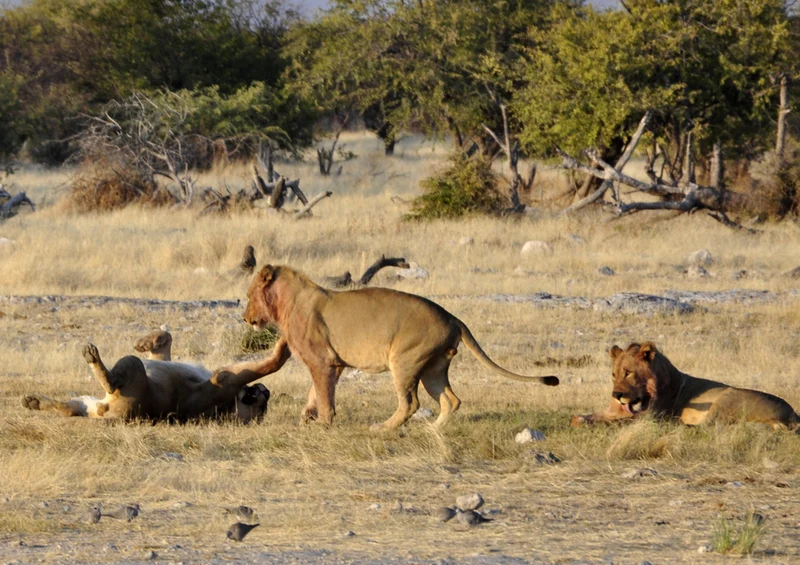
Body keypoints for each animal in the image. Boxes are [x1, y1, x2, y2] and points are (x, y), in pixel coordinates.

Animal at [22, 330, 290, 423]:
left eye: (257, 402)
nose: (264, 390)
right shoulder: (163, 359)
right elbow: (166, 339)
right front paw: (147, 340)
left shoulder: (224, 380)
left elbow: (271, 364)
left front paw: (284, 347)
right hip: (87, 402)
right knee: (69, 408)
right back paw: (33, 401)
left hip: (132, 367)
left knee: (110, 381)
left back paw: (91, 355)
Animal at [243, 264, 559, 429]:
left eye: (248, 295)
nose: (245, 318)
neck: (287, 303)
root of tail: (453, 318)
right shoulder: (335, 364)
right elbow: (316, 392)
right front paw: (308, 416)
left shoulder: (322, 361)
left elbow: (323, 394)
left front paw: (322, 422)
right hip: (434, 367)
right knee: (451, 400)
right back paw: (433, 429)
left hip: (405, 360)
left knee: (411, 403)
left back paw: (383, 428)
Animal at [571, 342, 798, 430]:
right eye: (614, 374)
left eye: (628, 373)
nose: (616, 394)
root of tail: (793, 414)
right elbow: (591, 416)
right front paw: (580, 419)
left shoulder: (650, 417)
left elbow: (617, 423)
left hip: (726, 397)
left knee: (707, 426)